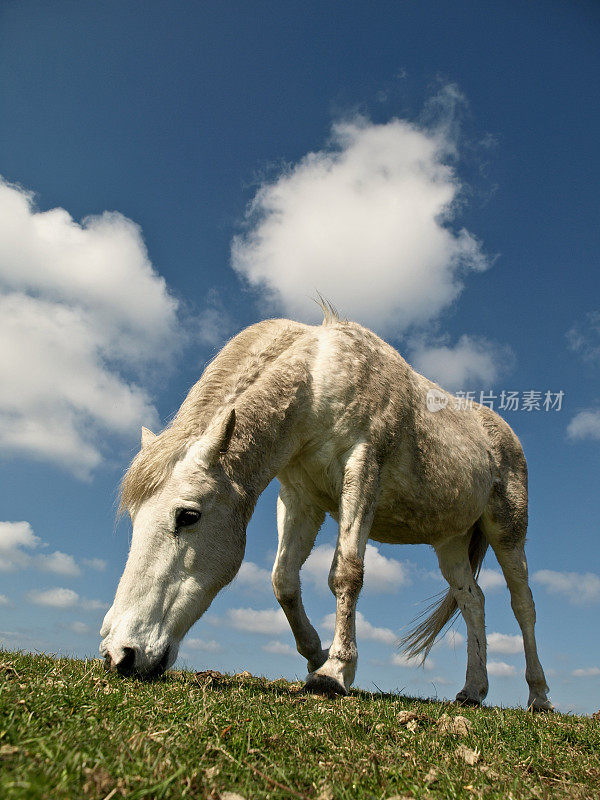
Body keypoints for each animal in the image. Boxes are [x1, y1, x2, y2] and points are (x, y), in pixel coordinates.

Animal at [99, 310, 552, 708]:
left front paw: (334, 672)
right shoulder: (299, 498)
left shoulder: (362, 469)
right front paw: (316, 654)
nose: (120, 654)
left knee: (523, 606)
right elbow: (283, 579)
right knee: (472, 601)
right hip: (451, 542)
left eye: (188, 516)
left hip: (507, 530)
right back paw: (473, 691)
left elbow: (346, 573)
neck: (318, 385)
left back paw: (539, 697)